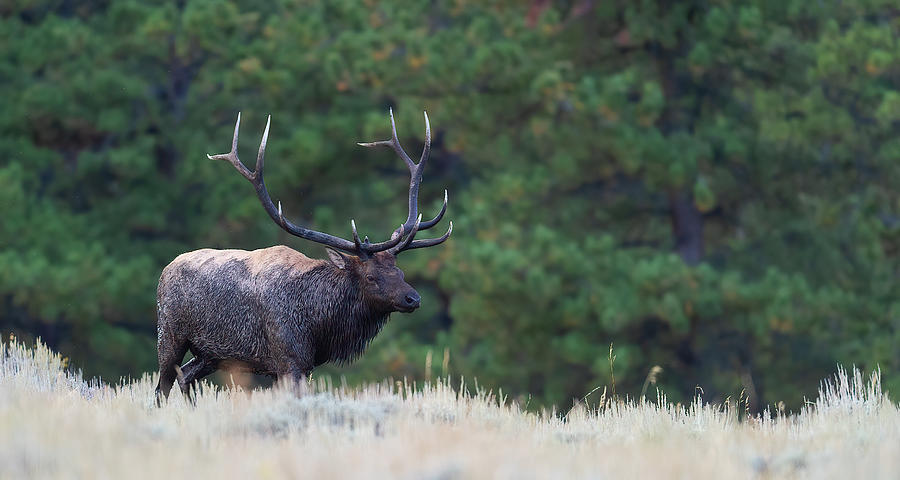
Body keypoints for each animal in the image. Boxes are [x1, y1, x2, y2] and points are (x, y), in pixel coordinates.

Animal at [156, 109, 454, 402]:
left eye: (400, 271)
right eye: (370, 277)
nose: (413, 298)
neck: (318, 325)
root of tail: (165, 270)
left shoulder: (299, 365)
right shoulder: (289, 357)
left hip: (209, 354)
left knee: (185, 377)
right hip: (168, 333)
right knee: (162, 386)